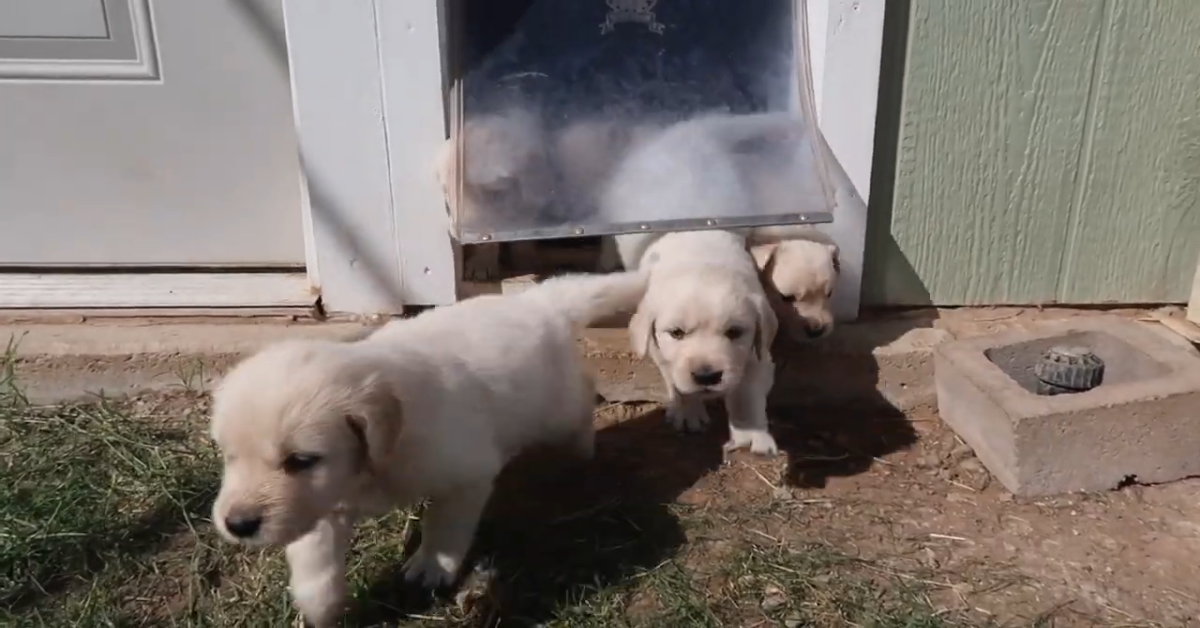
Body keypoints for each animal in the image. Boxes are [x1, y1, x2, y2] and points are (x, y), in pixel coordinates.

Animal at [211, 271, 652, 628]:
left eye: (301, 460)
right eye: (229, 457)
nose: (237, 524)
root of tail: (535, 302)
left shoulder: (465, 475)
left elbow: (445, 525)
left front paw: (431, 566)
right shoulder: (322, 503)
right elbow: (314, 557)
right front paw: (319, 606)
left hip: (555, 407)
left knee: (580, 401)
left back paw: (580, 451)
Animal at [624, 228, 782, 453]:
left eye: (734, 332)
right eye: (676, 333)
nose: (707, 376)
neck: (702, 268)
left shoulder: (757, 356)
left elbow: (746, 394)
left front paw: (750, 433)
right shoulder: (661, 354)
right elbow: (677, 382)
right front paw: (688, 412)